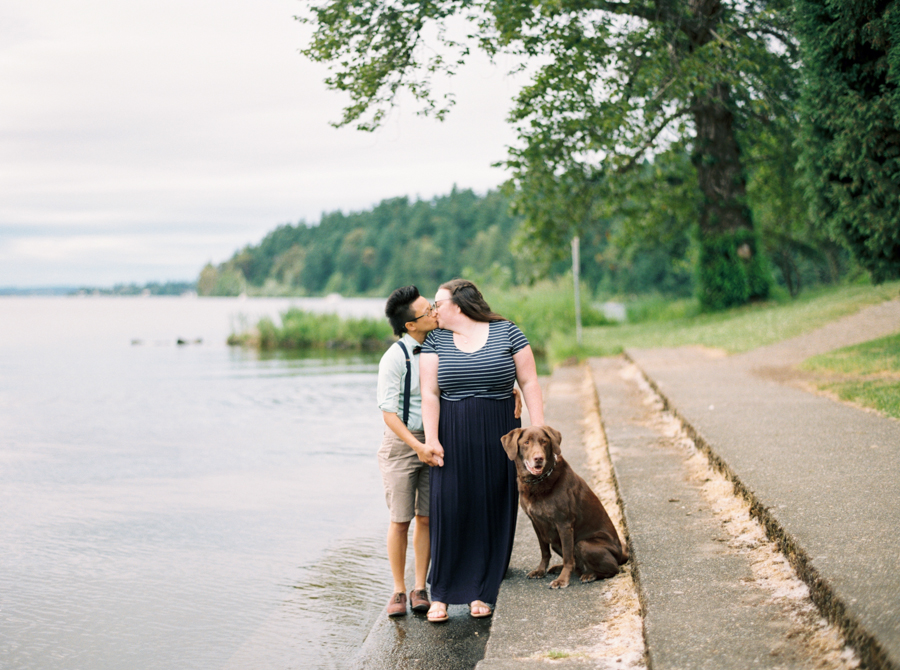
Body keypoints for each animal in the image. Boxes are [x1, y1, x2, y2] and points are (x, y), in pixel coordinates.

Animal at [500, 428, 624, 592]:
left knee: (613, 569)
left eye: (544, 441)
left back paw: (590, 575)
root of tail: (622, 554)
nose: (538, 458)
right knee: (578, 565)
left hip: (583, 544)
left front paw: (562, 580)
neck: (537, 481)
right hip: (555, 542)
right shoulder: (536, 523)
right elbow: (545, 552)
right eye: (526, 442)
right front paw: (541, 571)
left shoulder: (564, 524)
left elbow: (567, 557)